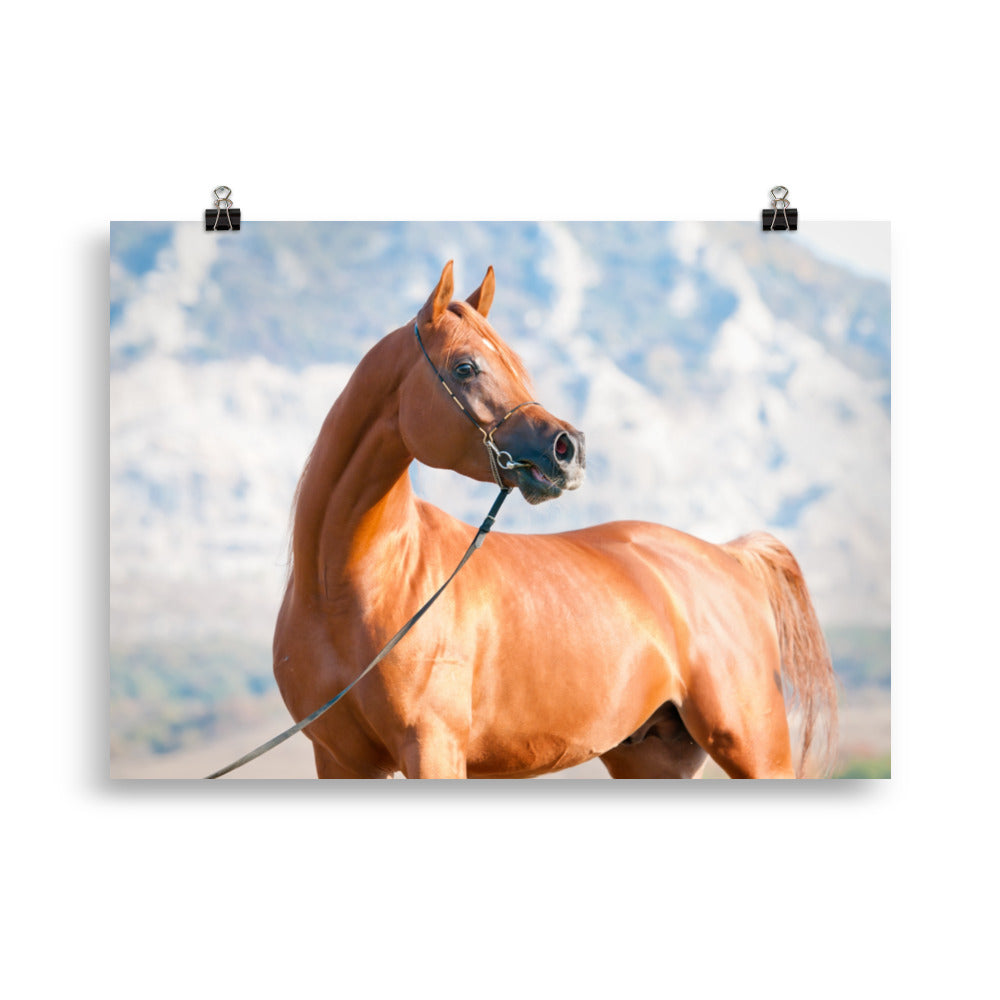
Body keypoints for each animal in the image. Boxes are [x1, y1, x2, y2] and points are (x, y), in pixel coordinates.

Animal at [273, 261, 838, 778]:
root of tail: (728, 557)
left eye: (516, 364)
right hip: (652, 758)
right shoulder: (340, 761)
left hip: (755, 752)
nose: (570, 449)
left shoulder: (433, 749)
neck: (347, 588)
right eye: (465, 367)